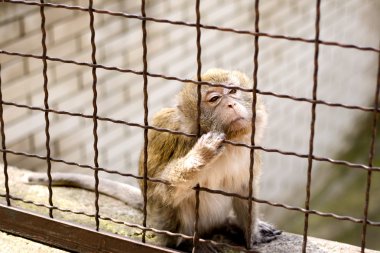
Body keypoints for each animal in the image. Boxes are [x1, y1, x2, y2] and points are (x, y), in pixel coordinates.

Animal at [25, 68, 280, 252]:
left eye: (234, 91)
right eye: (215, 98)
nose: (231, 103)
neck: (230, 145)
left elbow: (244, 189)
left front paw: (252, 235)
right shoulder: (179, 138)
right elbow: (161, 189)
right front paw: (202, 154)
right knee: (165, 204)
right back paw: (186, 243)